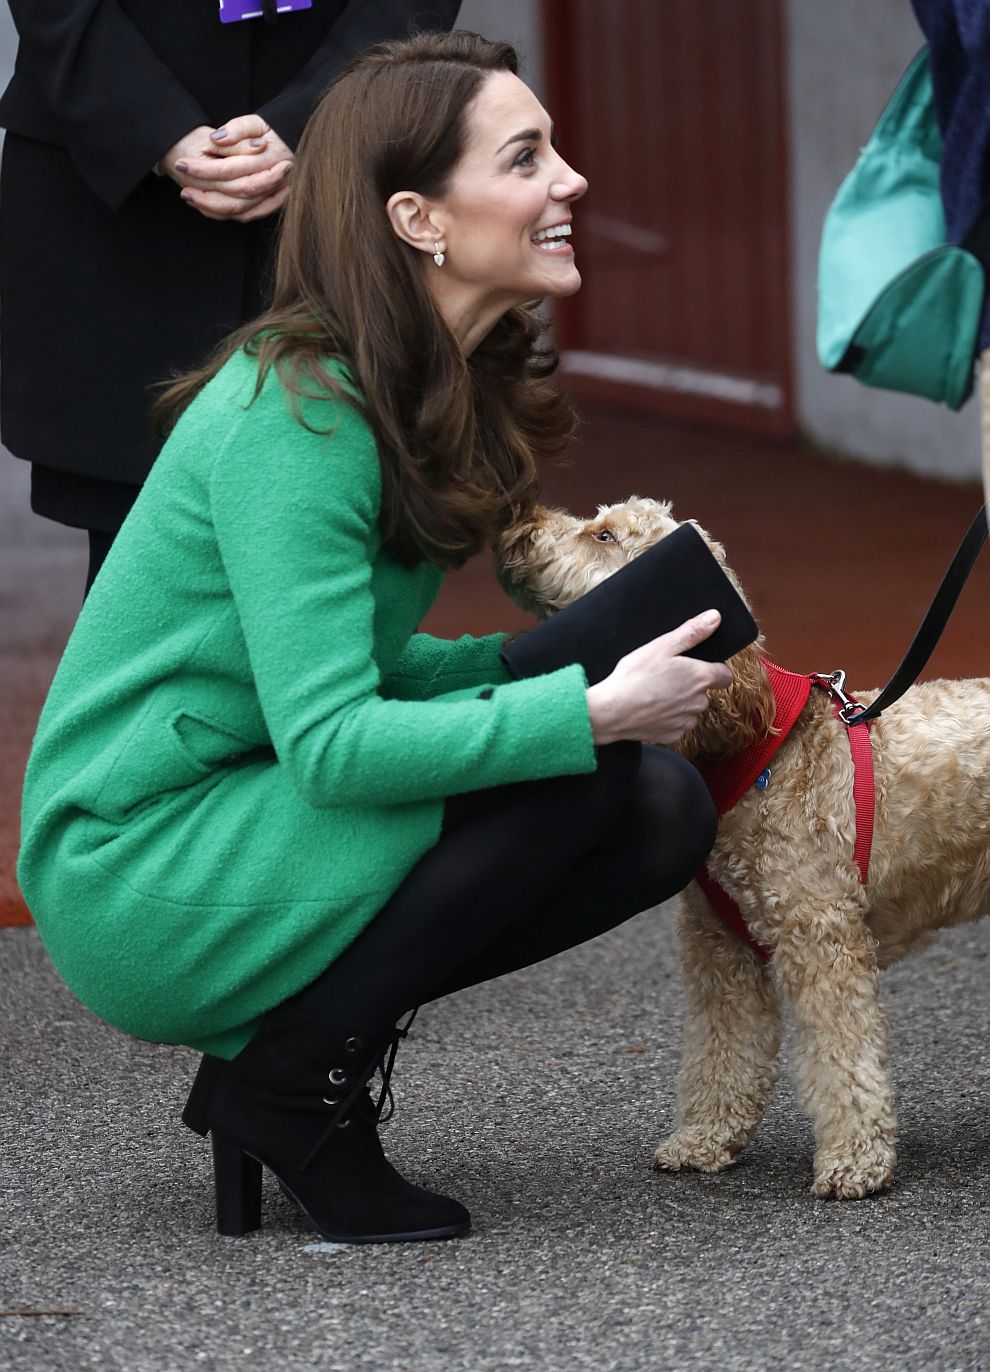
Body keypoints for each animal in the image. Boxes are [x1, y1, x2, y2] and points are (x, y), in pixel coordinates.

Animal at [496, 499, 987, 1196]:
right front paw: (705, 1138)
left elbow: (843, 1056)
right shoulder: (719, 949)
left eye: (604, 535)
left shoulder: (823, 941)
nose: (519, 522)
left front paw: (854, 1161)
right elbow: (723, 1052)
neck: (753, 748)